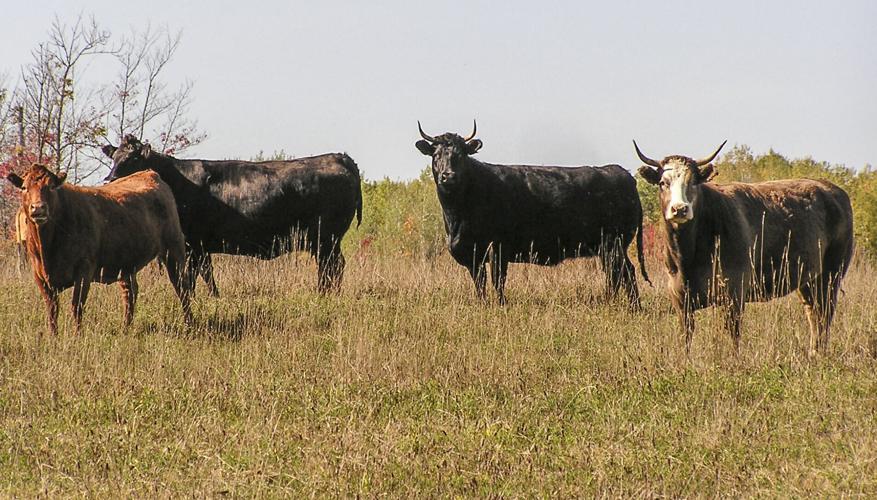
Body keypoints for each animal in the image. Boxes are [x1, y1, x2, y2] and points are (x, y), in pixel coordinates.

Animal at [5, 163, 193, 334]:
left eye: (51, 186)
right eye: (24, 187)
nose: (38, 207)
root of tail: (149, 173)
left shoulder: (83, 271)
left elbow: (77, 306)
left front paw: (77, 335)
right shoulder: (40, 276)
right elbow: (52, 309)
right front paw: (53, 336)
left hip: (174, 251)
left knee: (182, 289)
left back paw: (189, 326)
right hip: (126, 264)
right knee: (130, 293)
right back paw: (125, 328)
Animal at [102, 135, 363, 295]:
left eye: (134, 158)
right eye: (114, 158)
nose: (110, 179)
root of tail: (338, 157)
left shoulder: (192, 244)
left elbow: (194, 277)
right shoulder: (200, 247)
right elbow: (207, 274)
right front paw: (215, 297)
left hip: (325, 238)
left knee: (331, 267)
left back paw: (323, 295)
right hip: (324, 241)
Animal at [415, 121, 649, 306]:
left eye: (461, 155)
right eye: (436, 155)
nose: (449, 176)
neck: (457, 216)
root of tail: (622, 173)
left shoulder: (498, 247)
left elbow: (498, 280)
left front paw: (500, 305)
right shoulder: (474, 255)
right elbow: (480, 283)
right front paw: (482, 305)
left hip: (614, 245)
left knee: (623, 273)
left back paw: (627, 306)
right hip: (609, 248)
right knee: (619, 274)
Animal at [635, 141, 854, 356]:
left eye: (694, 182)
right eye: (663, 183)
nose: (679, 208)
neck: (688, 256)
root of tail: (831, 188)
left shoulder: (735, 291)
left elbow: (733, 335)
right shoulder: (680, 299)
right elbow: (685, 337)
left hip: (831, 274)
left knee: (824, 315)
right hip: (808, 280)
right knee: (814, 314)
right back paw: (813, 353)